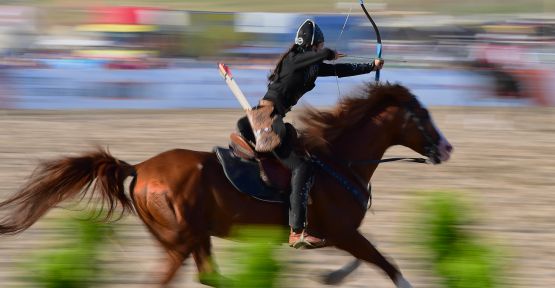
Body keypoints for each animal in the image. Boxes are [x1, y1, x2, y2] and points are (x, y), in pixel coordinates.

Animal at [0, 82, 452, 286]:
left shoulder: (340, 233)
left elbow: (367, 258)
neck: (338, 161)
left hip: (193, 236)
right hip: (181, 240)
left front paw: (330, 277)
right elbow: (387, 264)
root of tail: (140, 168)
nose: (446, 148)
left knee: (209, 276)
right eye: (422, 116)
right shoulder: (343, 231)